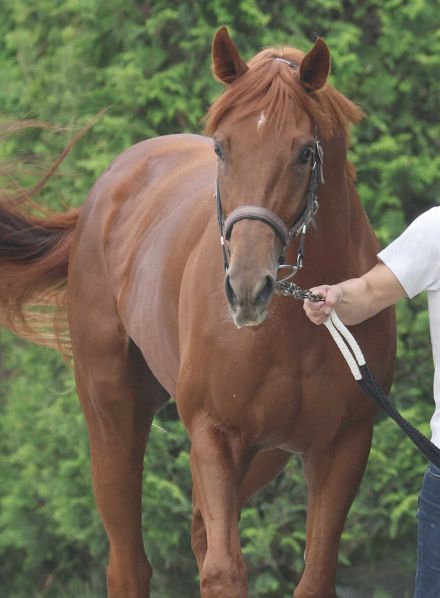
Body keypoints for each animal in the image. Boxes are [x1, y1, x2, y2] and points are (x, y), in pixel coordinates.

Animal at [0, 28, 398, 598]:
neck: (291, 332)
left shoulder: (343, 444)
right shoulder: (214, 435)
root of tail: (109, 187)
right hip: (112, 415)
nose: (247, 288)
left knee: (196, 531)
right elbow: (223, 570)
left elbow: (314, 572)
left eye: (305, 153)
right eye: (221, 147)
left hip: (263, 454)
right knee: (130, 563)